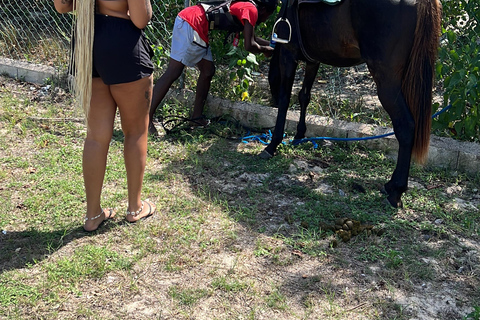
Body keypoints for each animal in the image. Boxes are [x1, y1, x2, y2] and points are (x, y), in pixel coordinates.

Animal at [262, 0, 442, 208]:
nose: (271, 100)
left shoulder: (288, 54)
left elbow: (285, 99)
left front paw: (272, 145)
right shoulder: (313, 60)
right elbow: (304, 96)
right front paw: (299, 135)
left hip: (387, 81)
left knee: (405, 127)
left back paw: (396, 191)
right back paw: (391, 186)